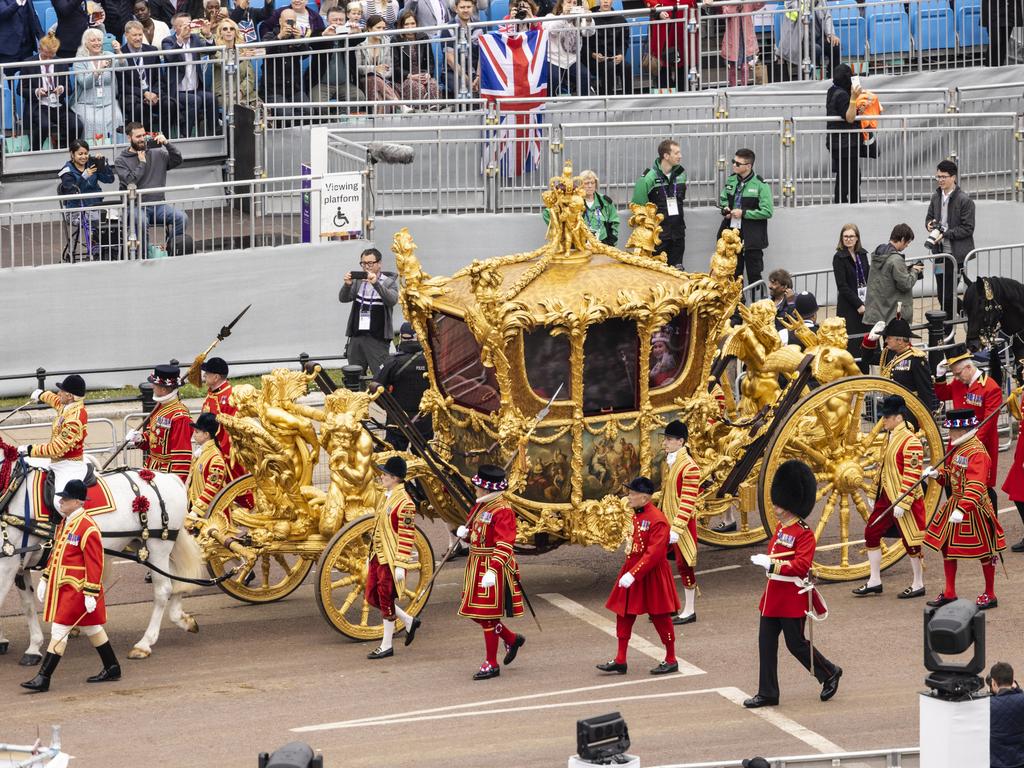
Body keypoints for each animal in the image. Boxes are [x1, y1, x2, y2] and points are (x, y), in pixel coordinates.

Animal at [0, 456, 205, 667]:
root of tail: (169, 477)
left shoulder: (7, 563)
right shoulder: (19, 565)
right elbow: (28, 605)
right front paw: (33, 647)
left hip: (158, 548)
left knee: (163, 590)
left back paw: (145, 643)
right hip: (150, 548)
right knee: (177, 580)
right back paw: (181, 618)